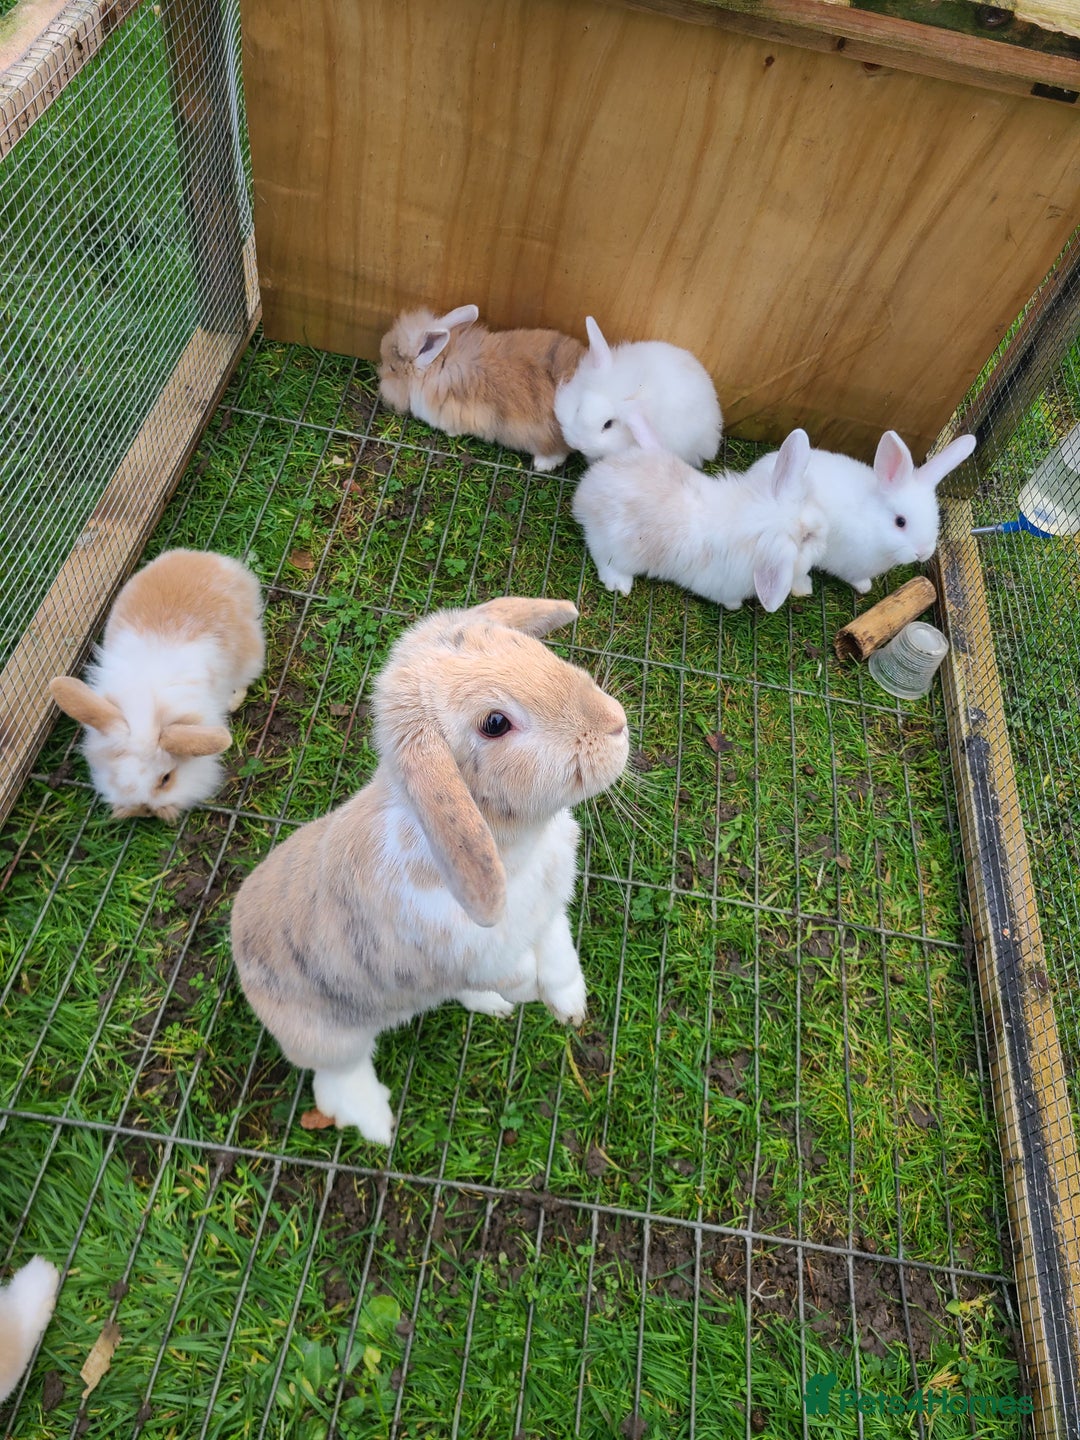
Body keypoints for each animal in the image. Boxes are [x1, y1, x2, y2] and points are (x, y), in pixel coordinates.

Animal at [49, 548, 265, 821]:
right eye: (117, 776)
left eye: (166, 779)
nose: (144, 811)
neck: (147, 710)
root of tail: (207, 559)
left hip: (250, 654)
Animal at [230, 596, 629, 1145]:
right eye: (495, 723)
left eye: (528, 648)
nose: (616, 723)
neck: (515, 852)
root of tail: (235, 937)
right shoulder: (477, 950)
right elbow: (518, 972)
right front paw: (532, 995)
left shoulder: (549, 915)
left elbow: (560, 958)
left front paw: (570, 1010)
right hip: (327, 1038)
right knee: (336, 1082)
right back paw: (378, 1125)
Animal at [572, 420, 826, 613]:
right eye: (806, 538)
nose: (826, 533)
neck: (757, 519)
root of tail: (585, 492)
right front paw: (735, 606)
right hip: (615, 552)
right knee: (602, 558)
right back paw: (620, 584)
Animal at [743, 430, 977, 594]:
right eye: (900, 522)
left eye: (937, 520)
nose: (922, 553)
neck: (871, 521)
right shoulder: (849, 563)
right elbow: (854, 578)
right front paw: (865, 587)